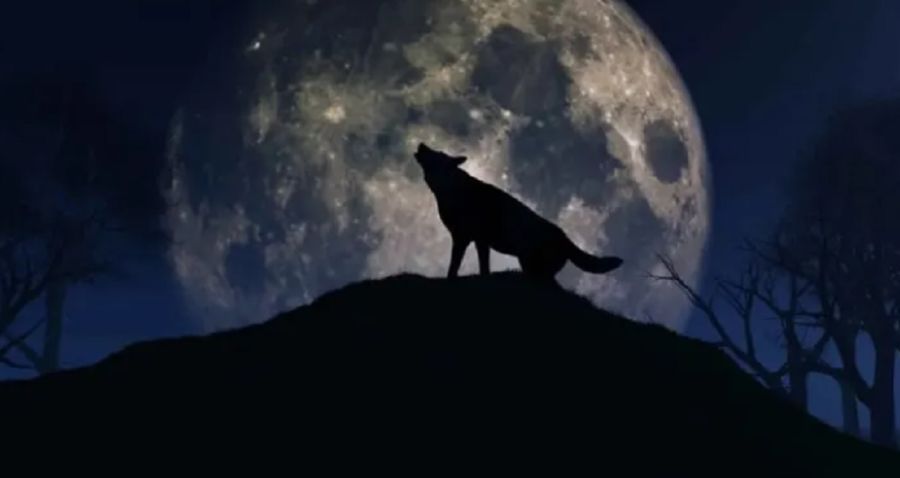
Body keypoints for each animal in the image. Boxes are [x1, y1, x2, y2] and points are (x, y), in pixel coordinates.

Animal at [414, 142, 623, 280]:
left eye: (438, 153)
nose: (422, 144)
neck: (451, 189)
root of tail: (565, 238)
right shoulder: (467, 240)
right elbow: (462, 268)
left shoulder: (474, 240)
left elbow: (472, 268)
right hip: (528, 266)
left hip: (535, 269)